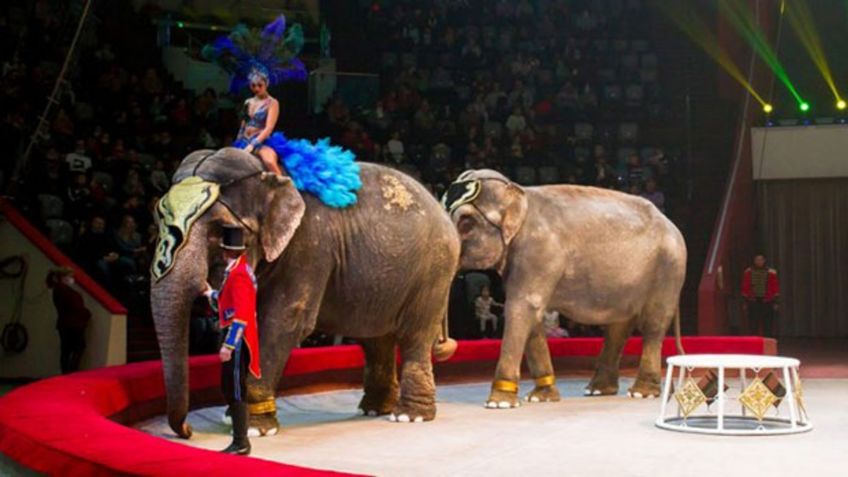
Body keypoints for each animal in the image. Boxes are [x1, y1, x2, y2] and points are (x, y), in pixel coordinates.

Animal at [149, 147, 460, 436]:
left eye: (223, 229)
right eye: (158, 220)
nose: (188, 430)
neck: (270, 173)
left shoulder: (310, 246)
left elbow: (284, 321)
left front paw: (255, 428)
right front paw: (231, 416)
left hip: (434, 270)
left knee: (414, 336)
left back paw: (409, 416)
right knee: (375, 340)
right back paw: (374, 409)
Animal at [440, 169, 684, 408]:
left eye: (466, 224)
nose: (446, 345)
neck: (520, 196)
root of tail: (671, 223)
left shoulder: (539, 250)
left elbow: (522, 307)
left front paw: (498, 404)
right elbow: (532, 314)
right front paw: (540, 398)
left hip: (668, 268)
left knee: (653, 325)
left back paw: (641, 393)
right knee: (618, 327)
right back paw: (599, 390)